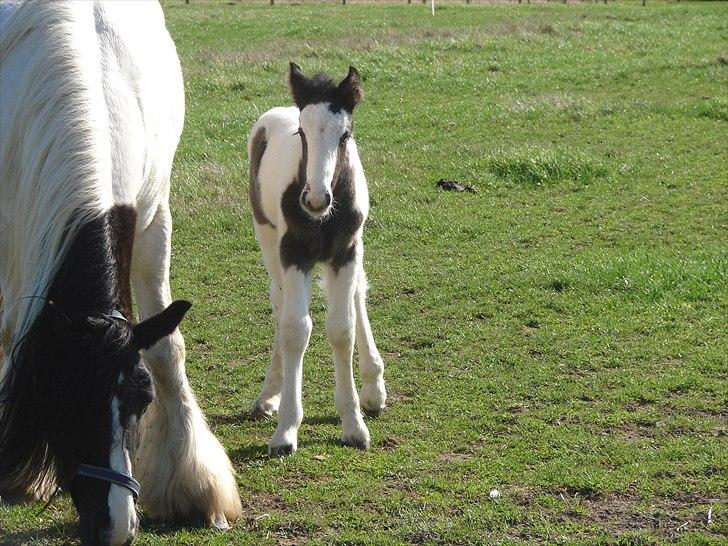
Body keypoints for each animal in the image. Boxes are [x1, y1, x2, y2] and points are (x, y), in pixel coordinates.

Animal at [0, 2, 242, 540]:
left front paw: (193, 486)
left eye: (142, 400)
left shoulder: (153, 217)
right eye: (64, 399)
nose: (114, 526)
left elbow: (167, 350)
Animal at [247, 62, 386, 454]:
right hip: (267, 239)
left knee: (358, 294)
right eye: (302, 133)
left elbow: (342, 328)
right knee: (278, 302)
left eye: (345, 135)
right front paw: (285, 430)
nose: (315, 200)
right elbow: (296, 327)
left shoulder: (346, 251)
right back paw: (269, 394)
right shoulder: (294, 253)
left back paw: (374, 386)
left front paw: (354, 424)